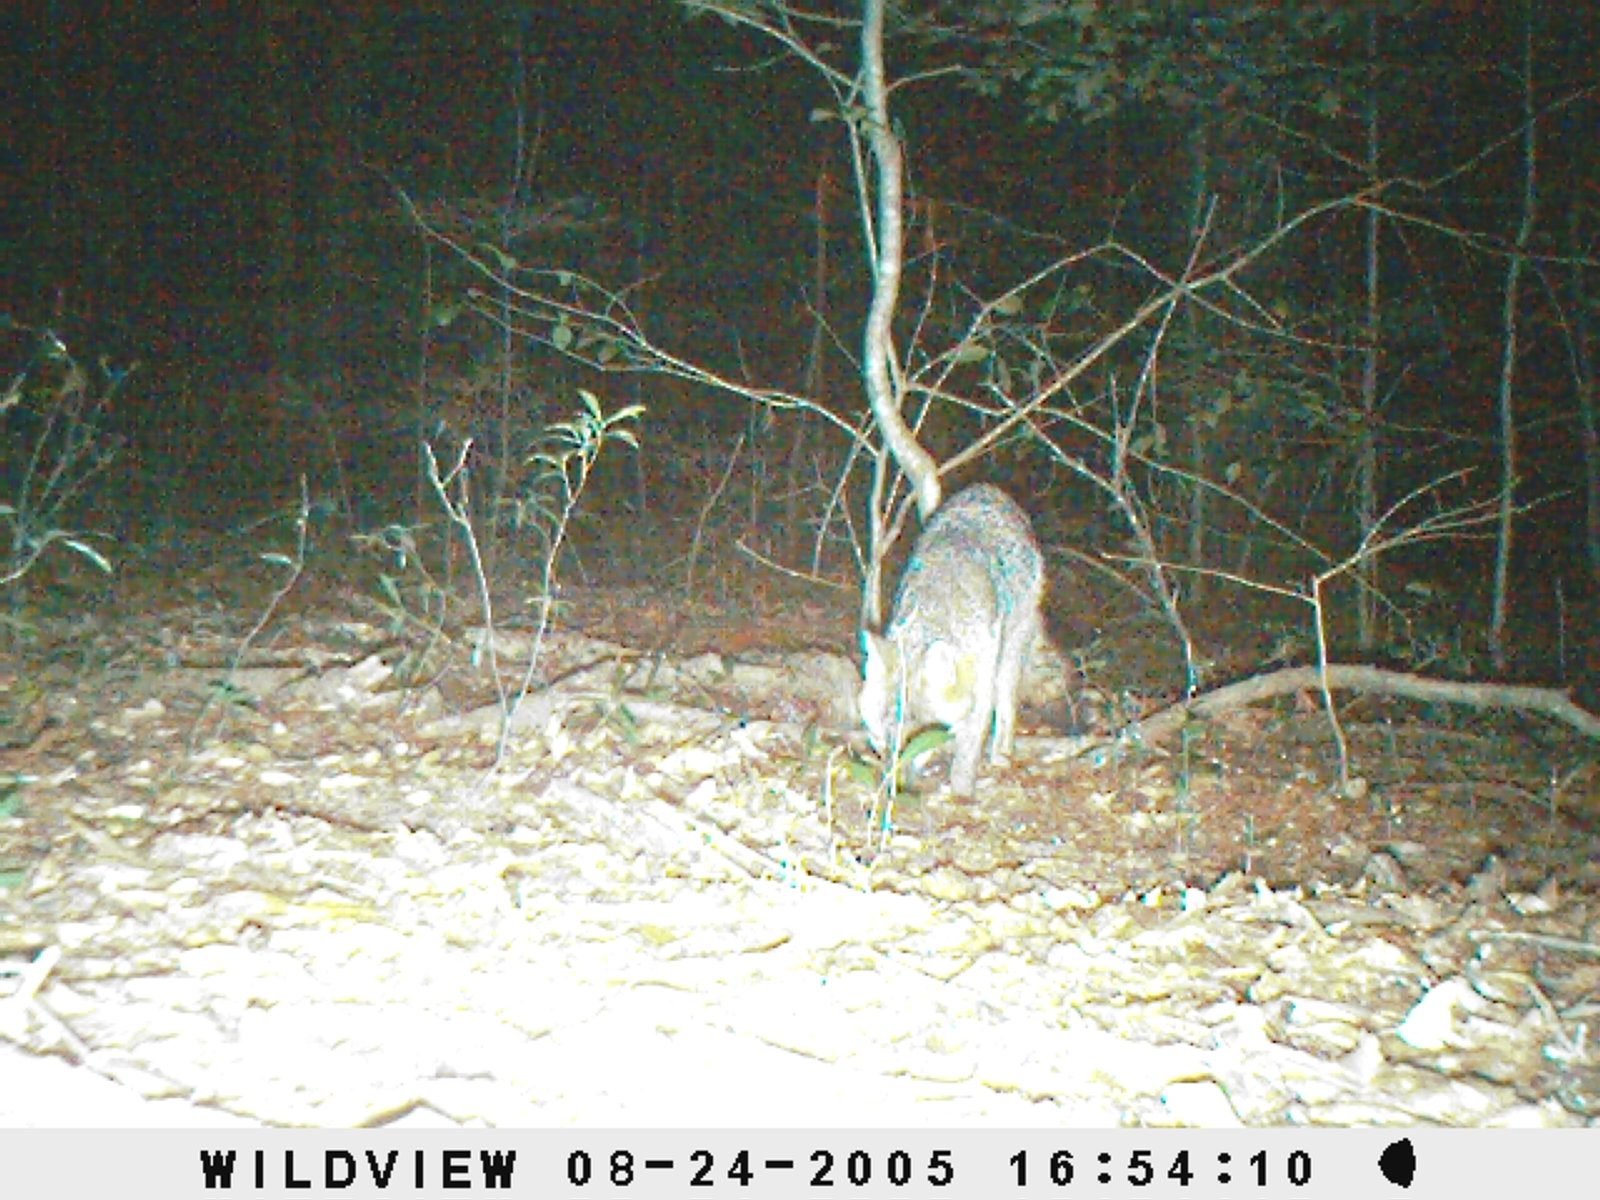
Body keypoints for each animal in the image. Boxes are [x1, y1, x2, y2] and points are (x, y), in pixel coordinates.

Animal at [859, 484, 1044, 796]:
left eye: (915, 739)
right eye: (883, 740)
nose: (894, 790)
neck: (932, 612)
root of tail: (987, 488)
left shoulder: (981, 683)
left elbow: (968, 748)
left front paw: (961, 793)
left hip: (1010, 649)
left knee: (1007, 702)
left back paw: (1001, 754)